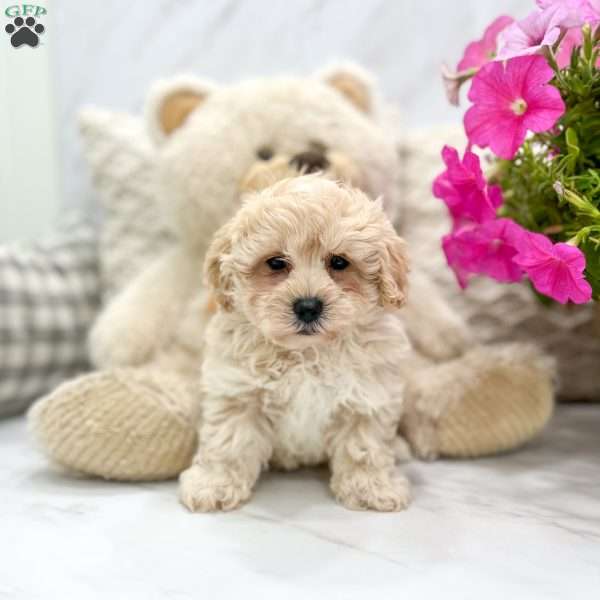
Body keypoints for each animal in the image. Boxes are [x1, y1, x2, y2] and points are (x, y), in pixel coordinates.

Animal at [178, 175, 412, 510]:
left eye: (339, 262)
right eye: (276, 263)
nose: (308, 306)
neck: (307, 353)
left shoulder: (366, 395)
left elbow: (364, 447)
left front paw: (371, 488)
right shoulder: (238, 391)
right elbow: (228, 442)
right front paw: (213, 485)